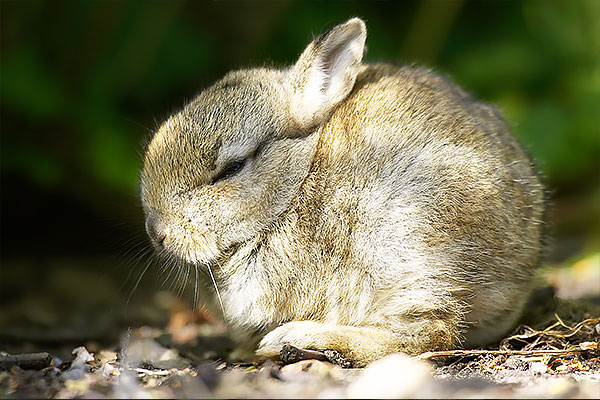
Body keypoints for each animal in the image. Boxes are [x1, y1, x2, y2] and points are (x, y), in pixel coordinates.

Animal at [141, 18, 544, 368]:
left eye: (231, 169)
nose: (157, 232)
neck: (296, 185)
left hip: (411, 245)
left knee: (429, 334)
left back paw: (298, 339)